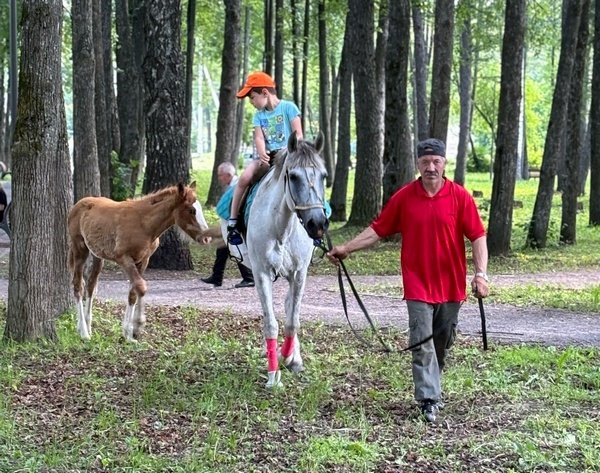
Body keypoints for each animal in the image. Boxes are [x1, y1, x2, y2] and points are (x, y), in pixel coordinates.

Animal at [244, 131, 328, 390]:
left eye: (323, 176)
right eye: (293, 176)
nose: (317, 223)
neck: (281, 228)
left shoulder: (299, 273)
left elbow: (293, 320)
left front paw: (289, 357)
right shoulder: (261, 274)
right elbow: (270, 323)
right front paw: (273, 375)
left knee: (290, 306)